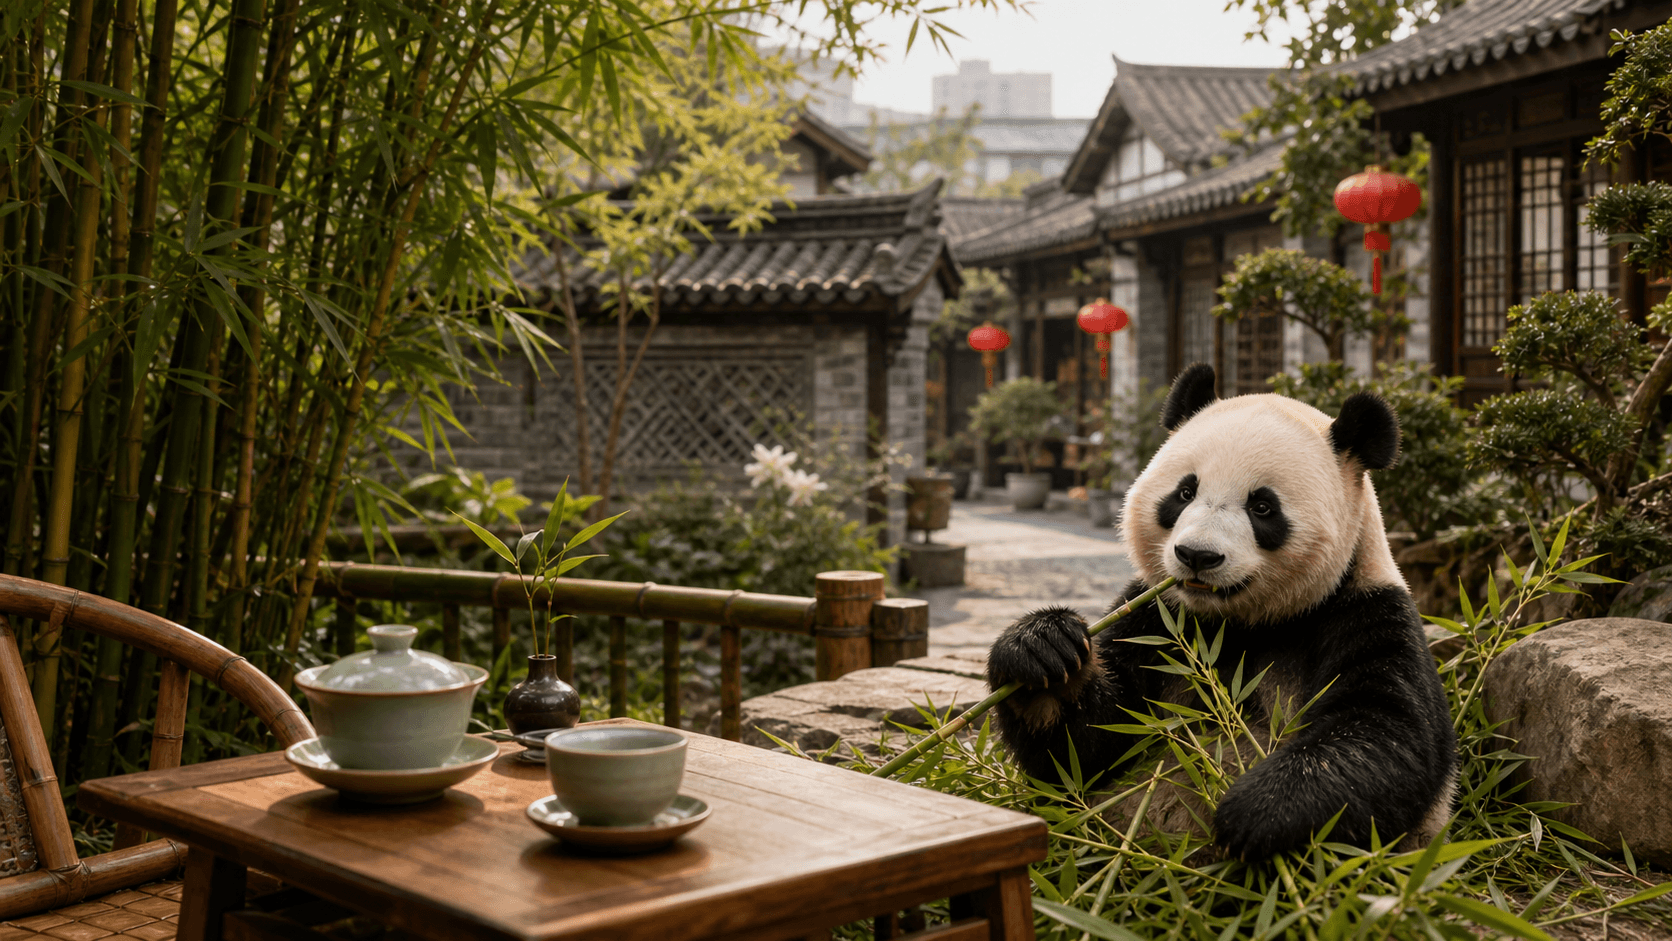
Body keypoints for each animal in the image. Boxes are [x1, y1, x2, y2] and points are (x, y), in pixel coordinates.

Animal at [986, 364, 1457, 860]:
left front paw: (1256, 813)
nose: (1197, 555)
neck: (1239, 624)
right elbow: (1086, 751)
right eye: (1184, 492)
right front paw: (1043, 653)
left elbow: (1388, 732)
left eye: (1263, 506)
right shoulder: (1155, 617)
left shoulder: (1365, 610)